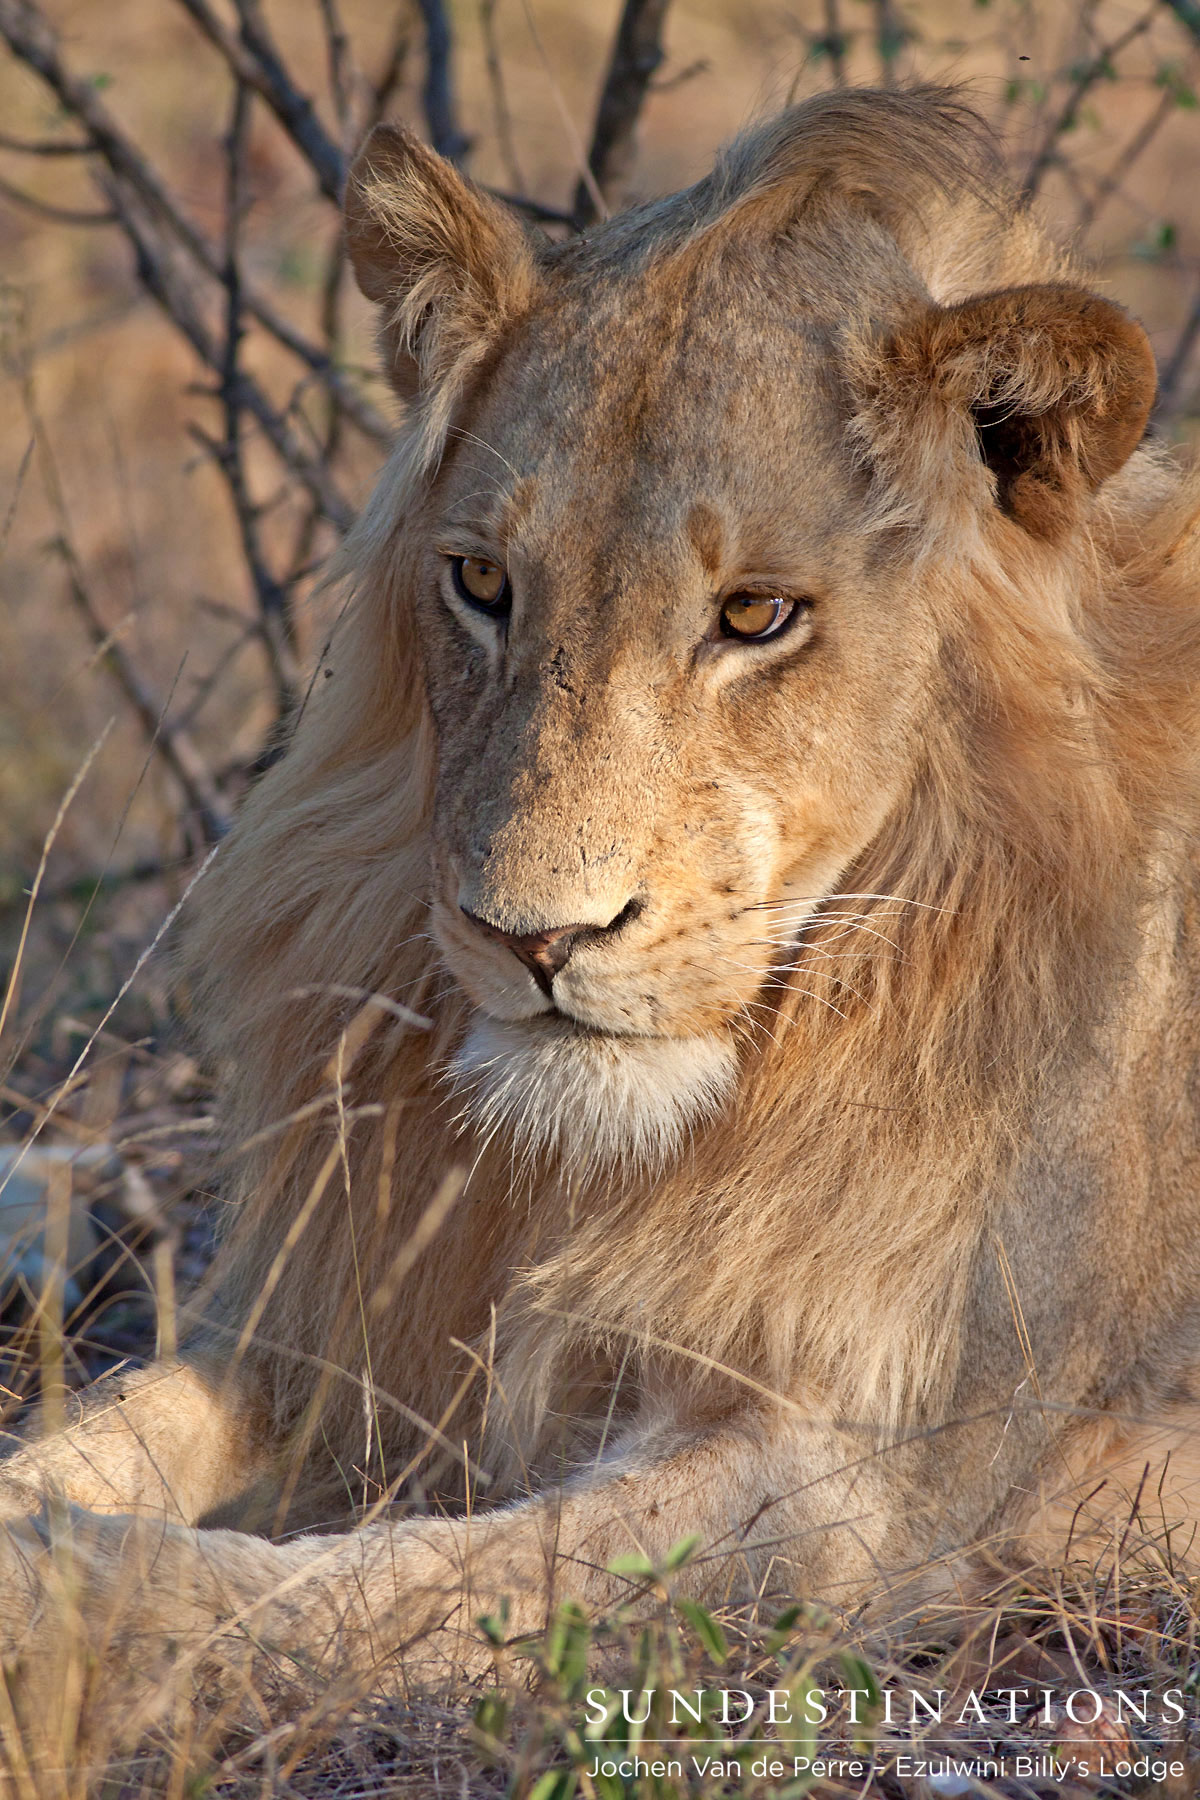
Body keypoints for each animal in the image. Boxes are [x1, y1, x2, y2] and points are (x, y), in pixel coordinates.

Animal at [3, 84, 1200, 1748]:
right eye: (483, 583)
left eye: (758, 616)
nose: (534, 940)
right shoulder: (347, 1313)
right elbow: (109, 1426)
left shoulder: (875, 1480)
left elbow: (426, 1579)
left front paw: (71, 1609)